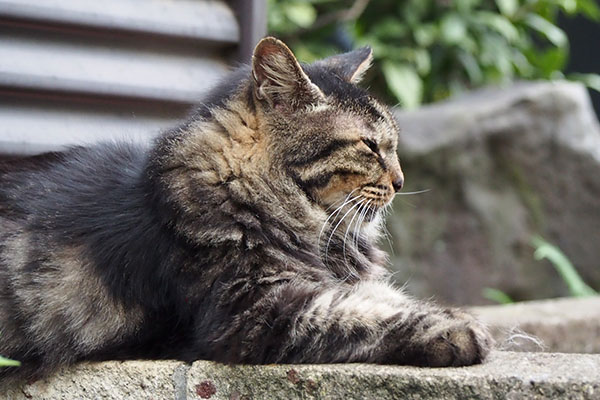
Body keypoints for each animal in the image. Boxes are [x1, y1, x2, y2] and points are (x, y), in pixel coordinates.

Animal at [0, 38, 492, 384]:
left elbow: (379, 298)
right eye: (370, 146)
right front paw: (459, 330)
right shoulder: (255, 311)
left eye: (391, 144)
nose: (400, 182)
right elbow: (361, 316)